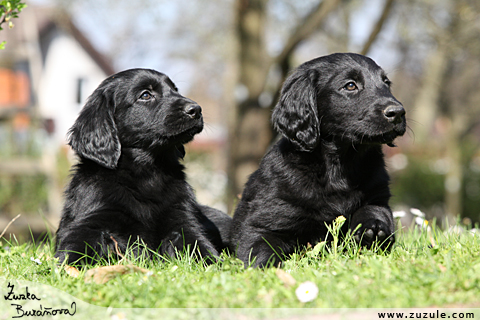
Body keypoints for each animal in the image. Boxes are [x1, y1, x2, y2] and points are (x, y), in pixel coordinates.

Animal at [54, 68, 231, 264]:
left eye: (175, 90)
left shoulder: (182, 218)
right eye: (145, 95)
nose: (196, 110)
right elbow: (74, 249)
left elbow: (200, 247)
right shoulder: (90, 218)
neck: (147, 172)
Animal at [229, 53, 404, 268]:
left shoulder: (378, 195)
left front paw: (372, 228)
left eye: (386, 83)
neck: (339, 166)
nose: (398, 113)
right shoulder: (263, 223)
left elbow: (375, 210)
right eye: (350, 85)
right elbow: (262, 250)